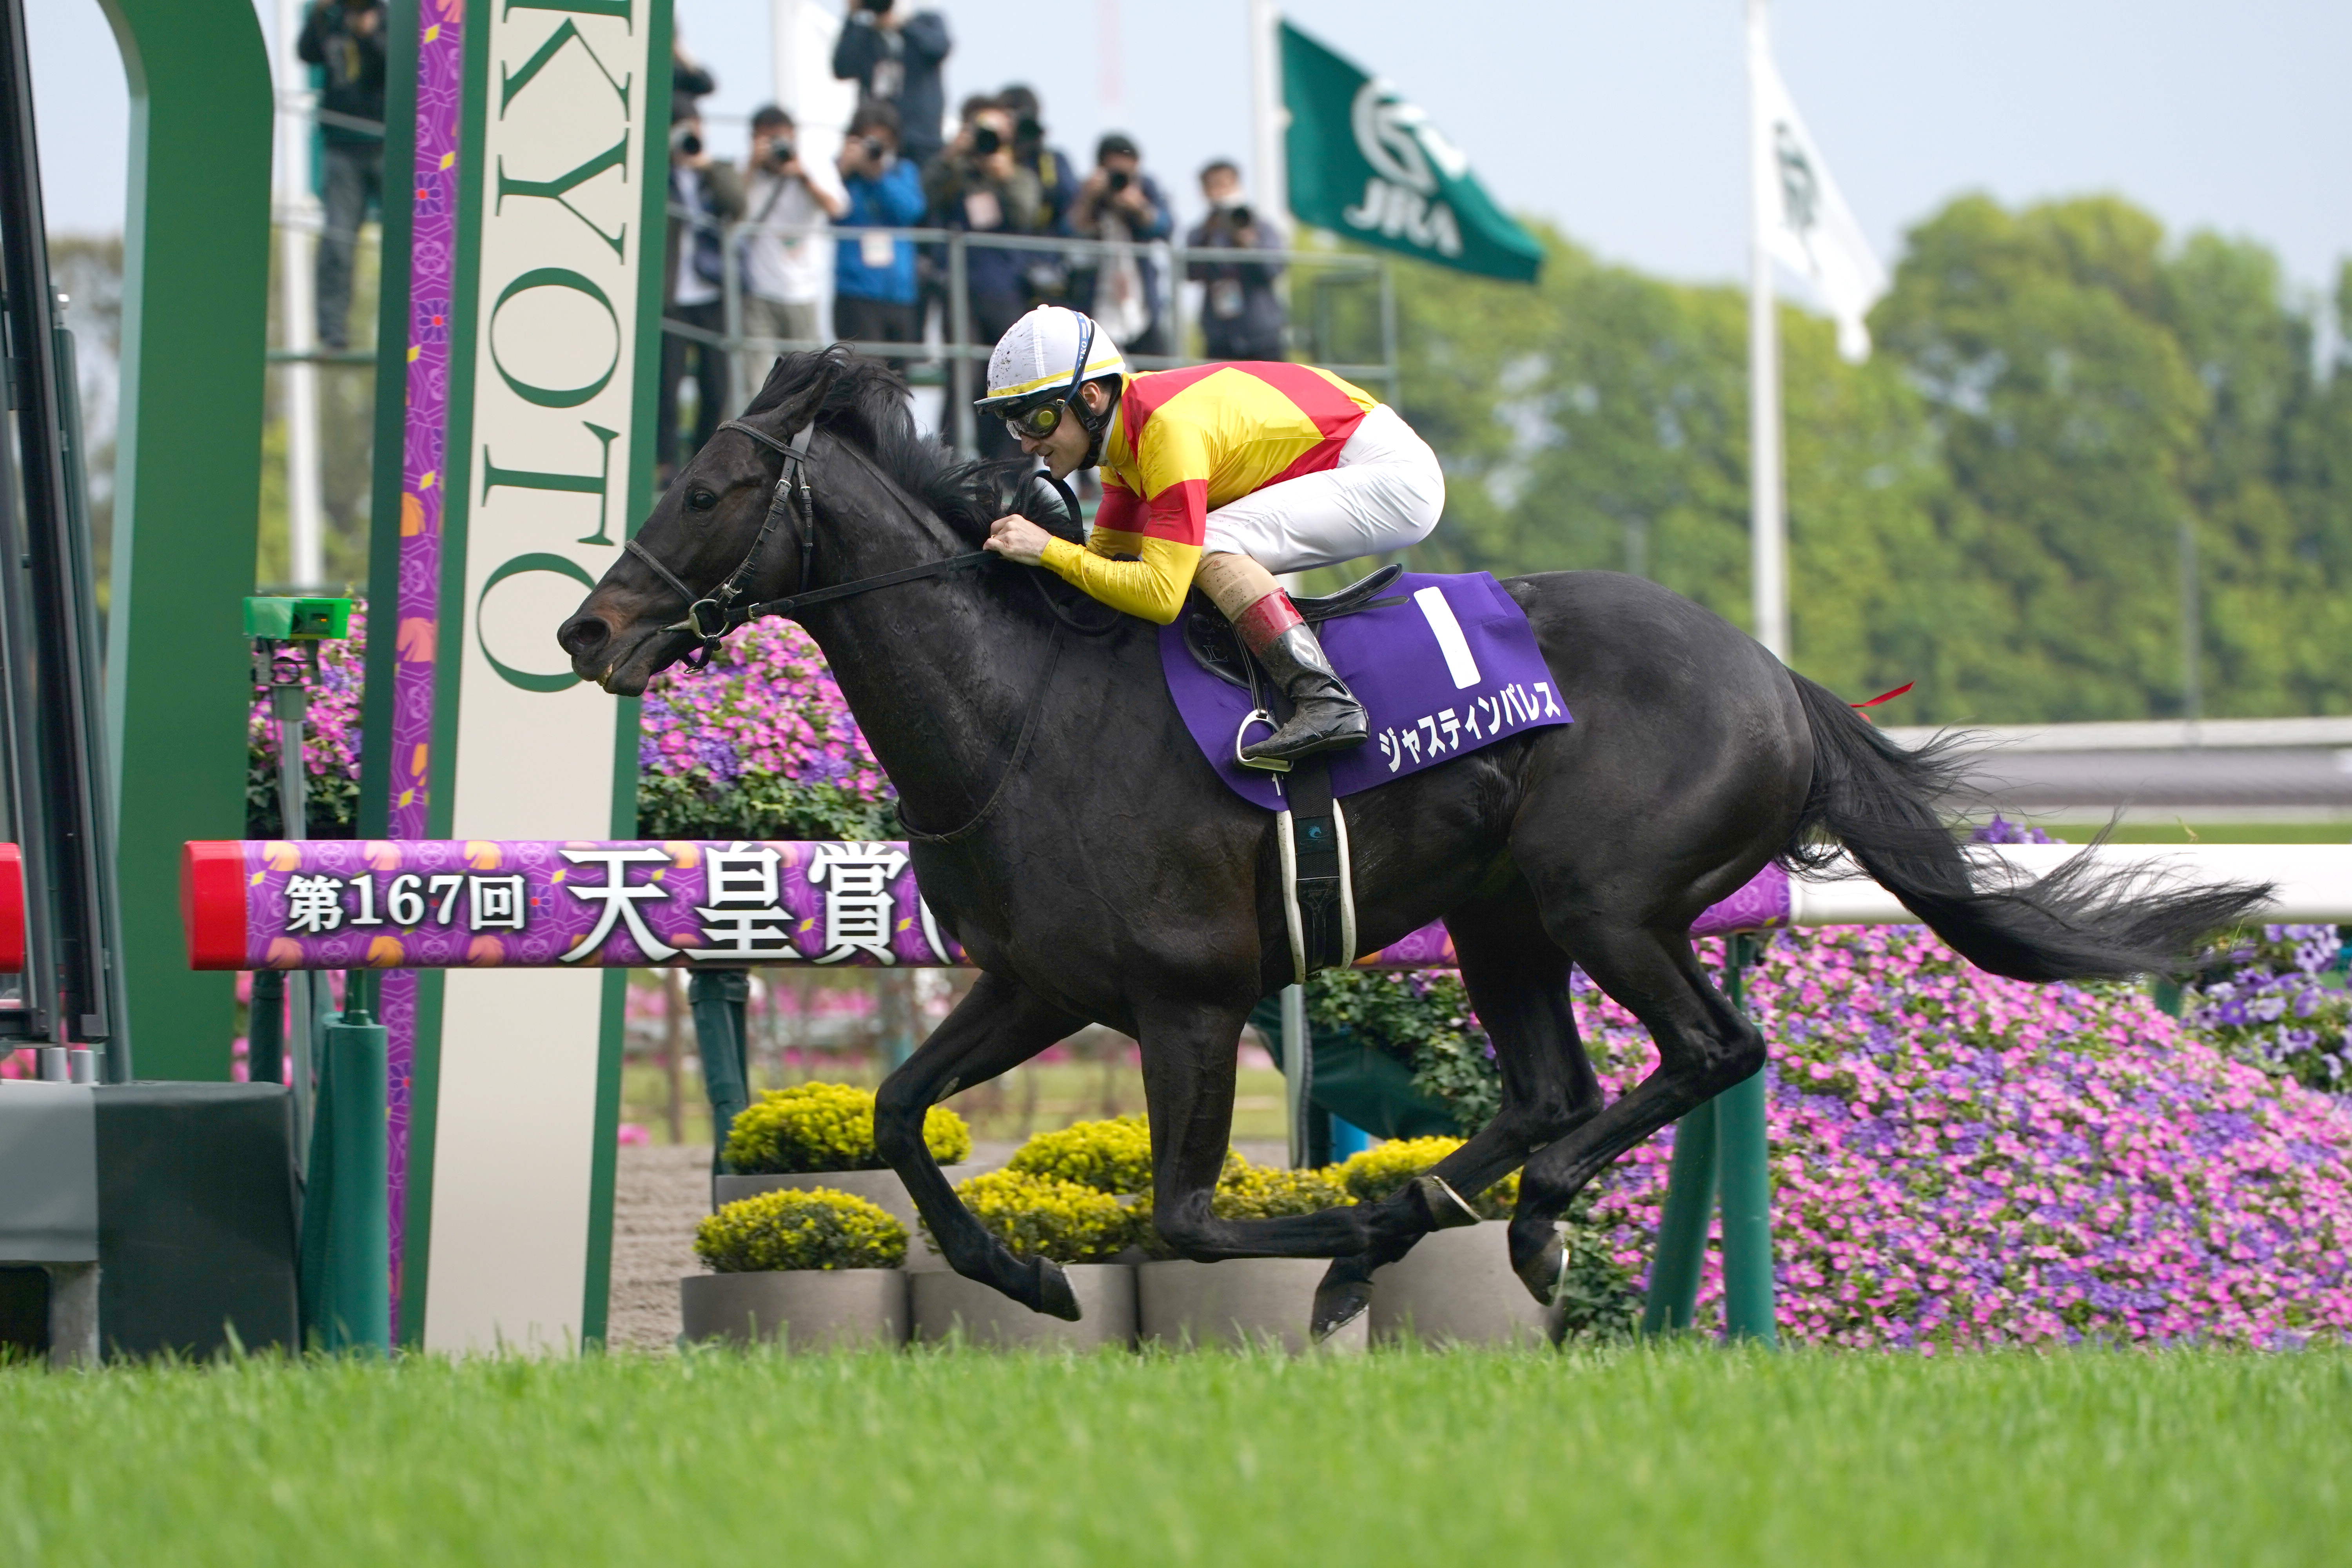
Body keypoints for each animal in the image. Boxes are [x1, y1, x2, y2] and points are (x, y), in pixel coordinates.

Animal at [559, 350, 2266, 1336]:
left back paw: (1487, 1227)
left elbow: (1187, 1215)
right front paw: (1029, 1272)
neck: (1022, 711)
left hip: (1607, 902)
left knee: (1711, 1050)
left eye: (709, 484)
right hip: (1509, 921)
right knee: (1555, 1089)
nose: (589, 630)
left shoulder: (1189, 1000)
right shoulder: (1038, 985)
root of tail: (1777, 677)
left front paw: (1325, 1227)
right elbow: (904, 1111)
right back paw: (1453, 1218)